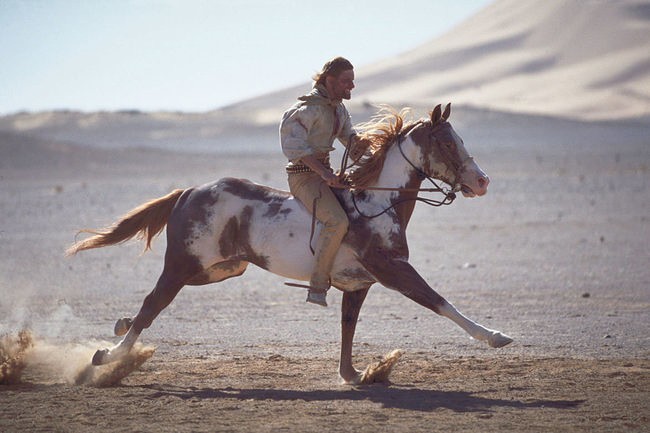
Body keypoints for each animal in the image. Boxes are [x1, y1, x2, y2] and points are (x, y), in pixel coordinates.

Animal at [66, 103, 512, 384]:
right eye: (448, 142)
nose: (482, 181)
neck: (375, 203)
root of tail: (189, 191)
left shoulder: (359, 284)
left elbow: (348, 327)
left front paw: (353, 374)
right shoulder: (394, 271)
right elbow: (440, 302)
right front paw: (495, 336)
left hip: (222, 269)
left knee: (147, 307)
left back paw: (118, 328)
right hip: (181, 266)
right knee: (151, 305)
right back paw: (107, 356)